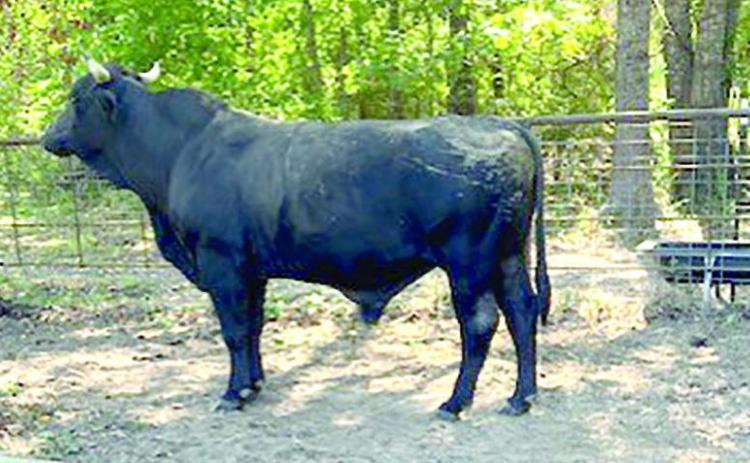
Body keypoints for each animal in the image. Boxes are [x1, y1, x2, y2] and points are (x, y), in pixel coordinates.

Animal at [42, 57, 551, 420]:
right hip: (507, 256)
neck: (180, 153)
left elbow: (233, 330)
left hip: (468, 262)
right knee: (521, 312)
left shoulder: (221, 261)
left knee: (480, 323)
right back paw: (521, 398)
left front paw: (233, 393)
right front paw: (254, 384)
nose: (48, 137)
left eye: (75, 99)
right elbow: (253, 326)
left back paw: (455, 402)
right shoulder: (252, 269)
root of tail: (498, 123)